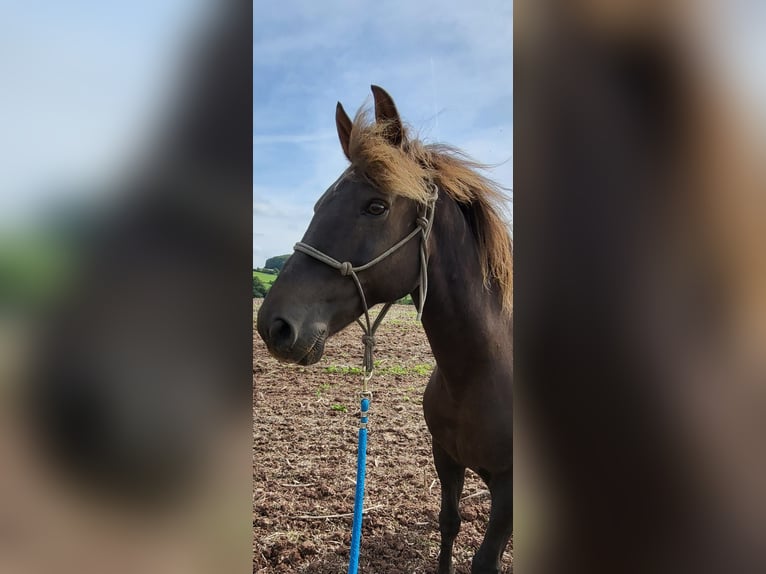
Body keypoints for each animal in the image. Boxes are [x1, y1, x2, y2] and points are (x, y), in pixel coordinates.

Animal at [257, 85, 513, 573]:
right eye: (318, 204)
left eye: (376, 206)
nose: (273, 326)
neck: (478, 375)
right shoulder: (445, 458)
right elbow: (448, 524)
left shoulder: (509, 488)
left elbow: (484, 560)